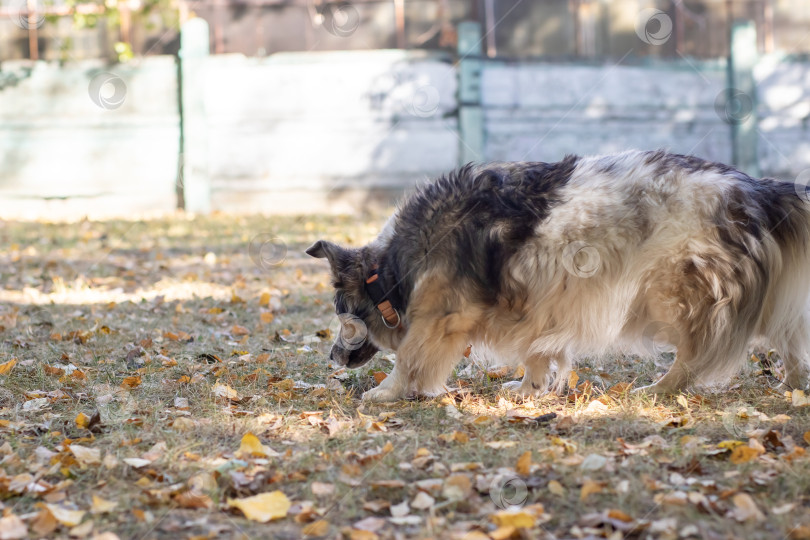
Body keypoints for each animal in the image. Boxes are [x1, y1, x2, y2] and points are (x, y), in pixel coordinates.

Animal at [304, 150, 808, 402]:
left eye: (343, 320)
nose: (331, 358)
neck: (389, 271)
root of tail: (756, 189)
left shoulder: (438, 317)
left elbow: (410, 357)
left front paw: (386, 393)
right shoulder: (538, 304)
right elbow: (537, 352)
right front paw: (529, 388)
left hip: (671, 294)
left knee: (696, 354)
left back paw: (662, 388)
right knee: (786, 334)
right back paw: (794, 385)